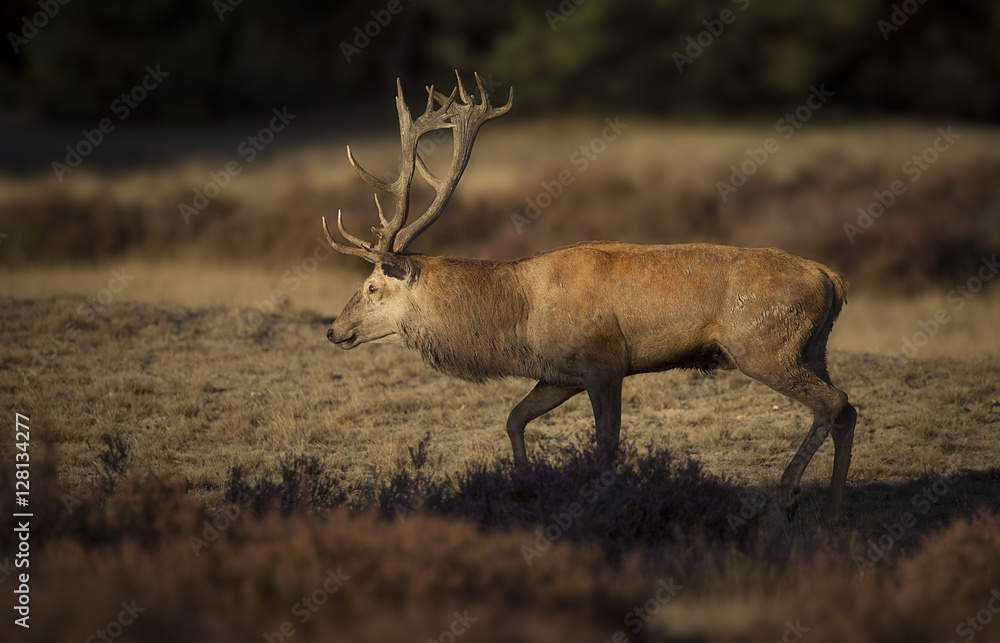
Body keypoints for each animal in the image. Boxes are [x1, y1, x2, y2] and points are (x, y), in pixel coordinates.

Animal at [323, 72, 857, 522]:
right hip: (813, 348)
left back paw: (787, 496)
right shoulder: (560, 374)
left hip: (764, 347)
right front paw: (524, 485)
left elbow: (606, 446)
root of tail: (832, 278)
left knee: (833, 403)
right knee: (847, 410)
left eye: (372, 287)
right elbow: (514, 419)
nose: (333, 329)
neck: (519, 318)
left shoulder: (605, 361)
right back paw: (832, 515)